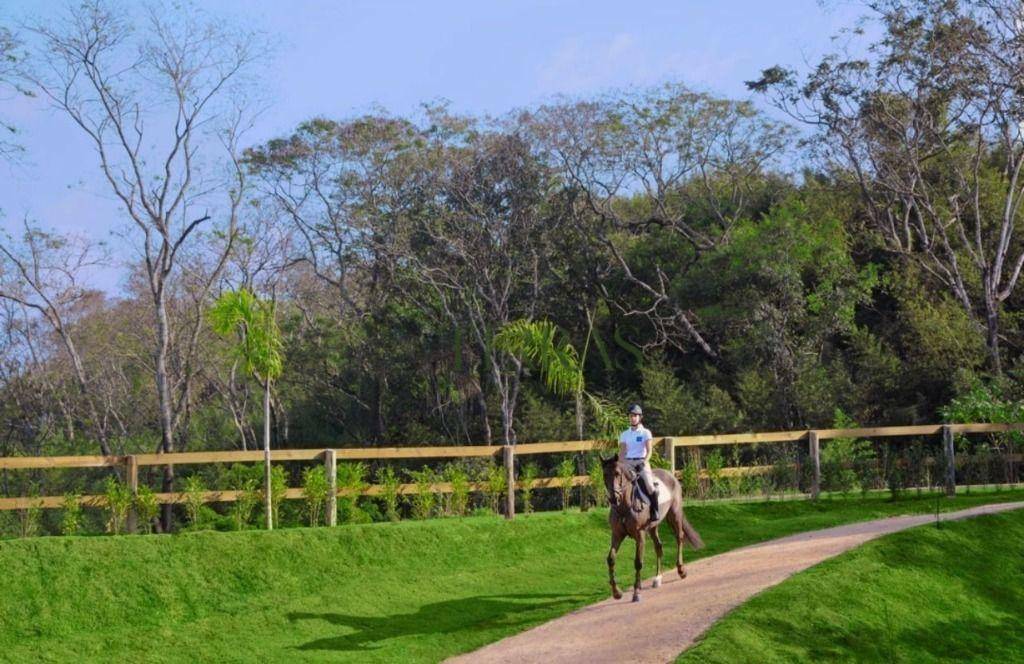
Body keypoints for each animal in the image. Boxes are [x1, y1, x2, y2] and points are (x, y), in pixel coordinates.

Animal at [598, 457, 704, 602]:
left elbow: (638, 562)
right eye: (605, 474)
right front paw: (617, 592)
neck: (625, 507)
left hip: (674, 515)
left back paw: (681, 570)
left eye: (617, 473)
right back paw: (657, 578)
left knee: (679, 538)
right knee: (658, 546)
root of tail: (670, 474)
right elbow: (611, 559)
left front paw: (636, 592)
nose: (614, 498)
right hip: (653, 527)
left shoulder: (640, 535)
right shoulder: (617, 535)